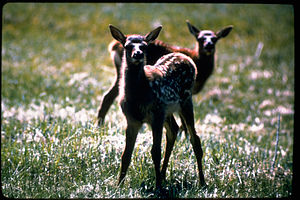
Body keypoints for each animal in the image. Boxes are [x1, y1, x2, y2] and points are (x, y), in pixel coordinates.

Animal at [97, 21, 233, 125]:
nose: (209, 45)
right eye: (200, 39)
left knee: (107, 96)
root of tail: (114, 45)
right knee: (108, 96)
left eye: (215, 39)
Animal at [108, 24, 206, 188]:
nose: (138, 53)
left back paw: (202, 181)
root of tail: (186, 57)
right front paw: (118, 185)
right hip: (167, 111)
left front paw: (158, 187)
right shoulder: (132, 119)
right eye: (127, 46)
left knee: (195, 139)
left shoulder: (156, 116)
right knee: (173, 130)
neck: (140, 94)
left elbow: (155, 152)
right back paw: (164, 175)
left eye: (144, 46)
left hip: (185, 101)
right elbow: (126, 154)